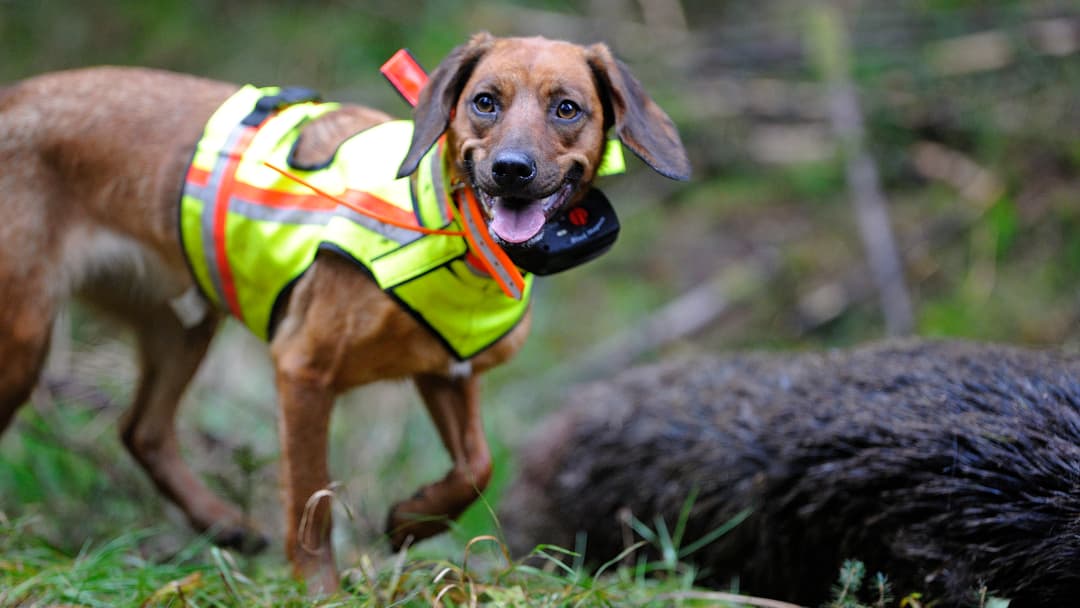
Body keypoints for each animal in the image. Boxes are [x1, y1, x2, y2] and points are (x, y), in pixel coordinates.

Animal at [0, 34, 691, 596]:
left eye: (567, 108)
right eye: (485, 102)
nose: (511, 170)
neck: (451, 232)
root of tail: (13, 98)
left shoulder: (446, 370)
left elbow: (476, 468)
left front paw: (409, 522)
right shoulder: (303, 372)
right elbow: (312, 505)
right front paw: (322, 592)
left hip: (183, 324)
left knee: (141, 429)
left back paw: (223, 525)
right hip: (24, 339)